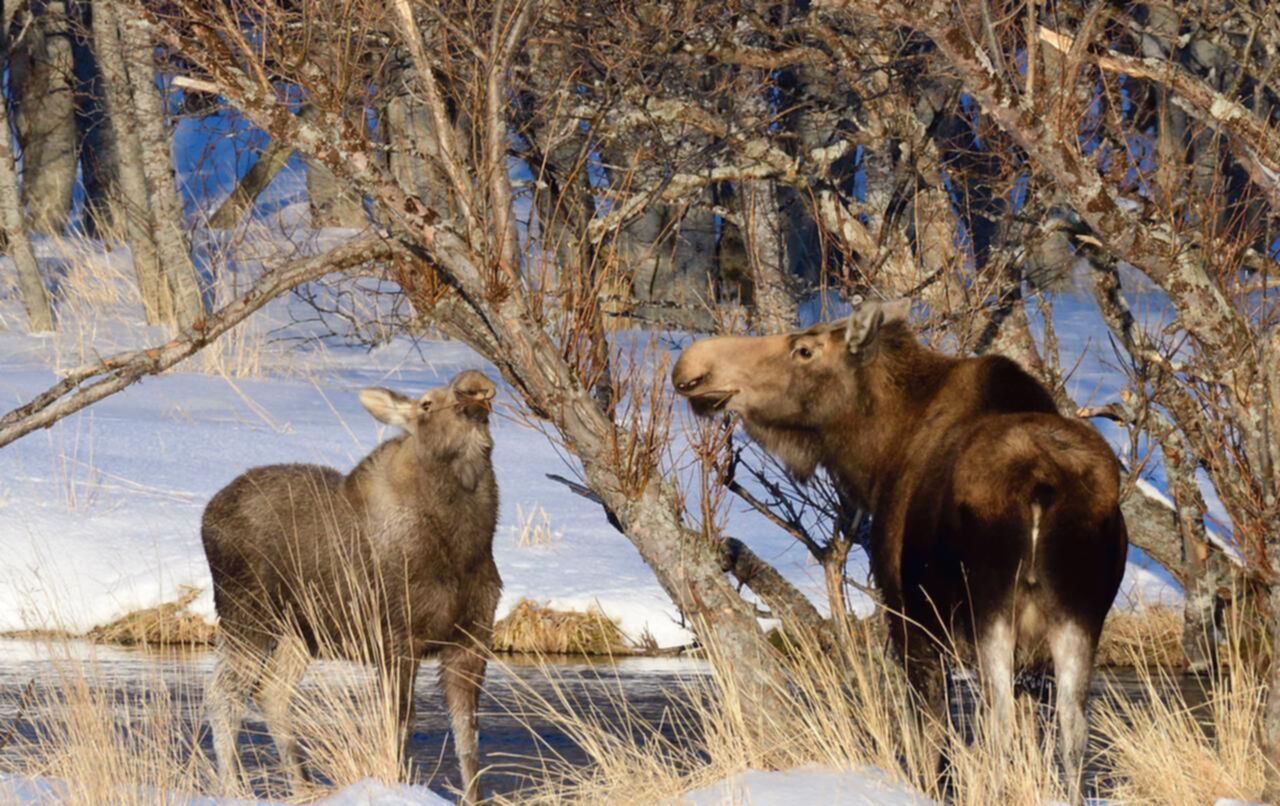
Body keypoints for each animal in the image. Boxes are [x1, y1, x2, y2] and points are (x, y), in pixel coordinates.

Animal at [199, 368, 499, 803]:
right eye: (427, 403)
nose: (473, 381)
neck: (464, 546)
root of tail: (207, 514)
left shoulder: (471, 641)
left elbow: (468, 741)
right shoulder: (395, 639)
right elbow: (399, 726)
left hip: (299, 633)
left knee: (270, 692)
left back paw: (303, 785)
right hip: (246, 615)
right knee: (224, 694)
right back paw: (234, 787)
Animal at [675, 298, 1126, 803]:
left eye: (804, 350)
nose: (693, 368)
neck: (875, 453)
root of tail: (1042, 483)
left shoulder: (910, 618)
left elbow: (930, 739)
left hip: (991, 607)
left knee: (998, 723)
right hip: (1081, 614)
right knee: (1072, 730)